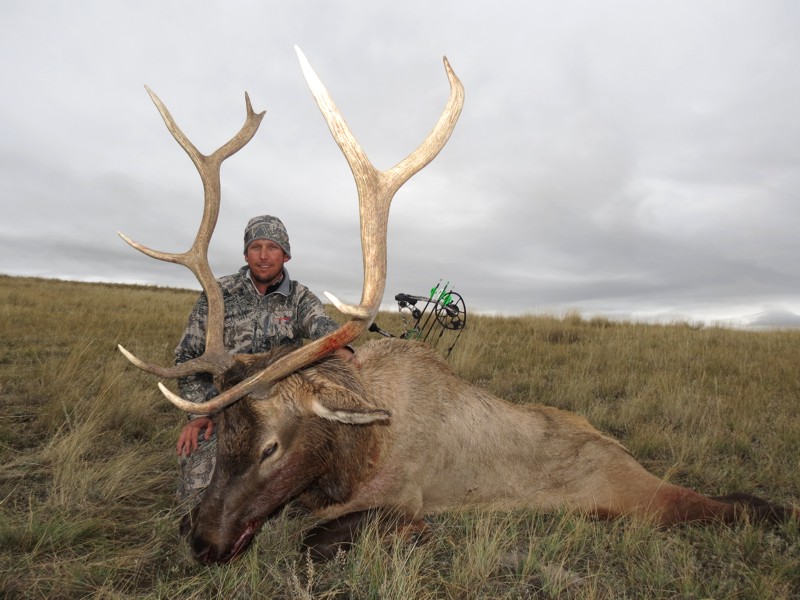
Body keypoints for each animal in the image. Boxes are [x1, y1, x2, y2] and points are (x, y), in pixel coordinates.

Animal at [118, 47, 798, 564]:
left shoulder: (404, 498)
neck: (351, 457)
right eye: (223, 435)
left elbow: (319, 537)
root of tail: (621, 450)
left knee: (712, 506)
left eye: (271, 448)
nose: (203, 540)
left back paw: (772, 508)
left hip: (633, 496)